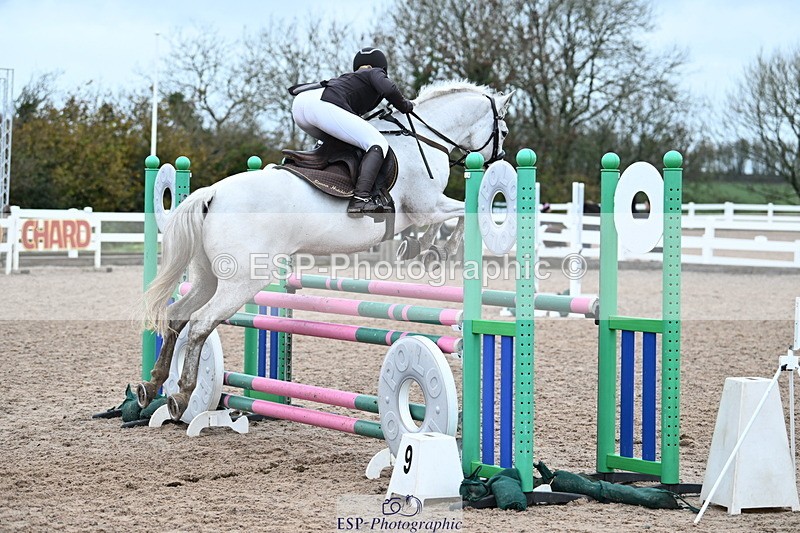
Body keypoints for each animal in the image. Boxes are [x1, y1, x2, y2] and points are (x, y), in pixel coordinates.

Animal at [135, 80, 513, 421]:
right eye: (505, 131)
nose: (498, 159)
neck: (421, 138)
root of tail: (212, 194)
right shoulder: (426, 206)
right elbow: (462, 213)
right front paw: (441, 249)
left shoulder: (424, 211)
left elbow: (447, 220)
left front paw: (422, 247)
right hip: (242, 282)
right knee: (200, 324)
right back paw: (181, 394)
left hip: (207, 277)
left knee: (177, 316)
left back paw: (151, 386)